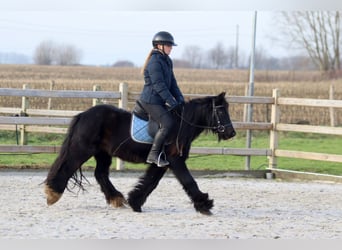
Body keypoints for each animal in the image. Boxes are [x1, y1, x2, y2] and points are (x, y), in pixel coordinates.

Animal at [44, 93, 235, 214]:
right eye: (220, 110)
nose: (231, 133)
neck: (182, 124)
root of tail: (83, 115)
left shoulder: (161, 162)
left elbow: (150, 182)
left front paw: (135, 202)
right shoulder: (175, 160)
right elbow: (188, 180)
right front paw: (205, 204)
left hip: (103, 153)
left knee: (100, 174)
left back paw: (116, 198)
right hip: (83, 149)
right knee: (67, 166)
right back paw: (52, 193)